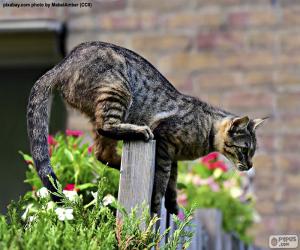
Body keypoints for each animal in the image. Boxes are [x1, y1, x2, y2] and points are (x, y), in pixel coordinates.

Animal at [27, 42, 268, 214]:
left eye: (252, 152)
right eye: (245, 150)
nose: (250, 165)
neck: (206, 129)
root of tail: (61, 65)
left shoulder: (173, 157)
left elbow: (173, 183)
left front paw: (173, 206)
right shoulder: (165, 144)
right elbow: (162, 181)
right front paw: (157, 205)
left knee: (102, 153)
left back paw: (120, 164)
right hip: (116, 90)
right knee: (107, 128)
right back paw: (139, 132)